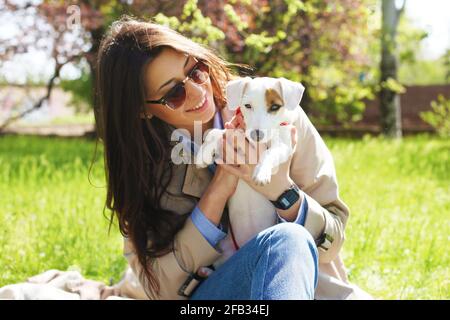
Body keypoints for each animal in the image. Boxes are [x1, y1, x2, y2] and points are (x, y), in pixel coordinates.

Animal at [195, 76, 304, 256]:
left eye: (275, 107)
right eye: (247, 106)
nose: (256, 135)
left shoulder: (284, 146)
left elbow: (269, 153)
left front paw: (261, 173)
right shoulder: (233, 131)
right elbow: (216, 133)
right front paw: (203, 154)